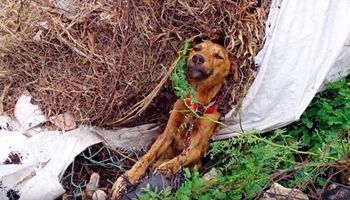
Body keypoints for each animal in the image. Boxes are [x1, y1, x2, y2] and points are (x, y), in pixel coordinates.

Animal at [112, 40, 231, 200]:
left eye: (218, 56)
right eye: (197, 48)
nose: (197, 58)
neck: (194, 104)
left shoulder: (197, 147)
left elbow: (183, 157)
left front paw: (167, 168)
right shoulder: (167, 134)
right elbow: (147, 157)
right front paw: (128, 177)